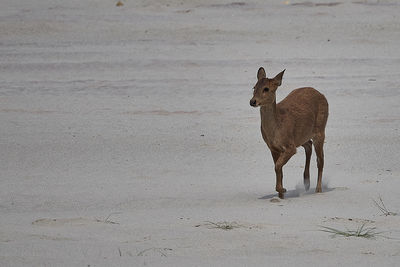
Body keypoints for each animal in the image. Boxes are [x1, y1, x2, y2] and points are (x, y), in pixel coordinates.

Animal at [250, 68, 328, 200]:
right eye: (254, 87)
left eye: (266, 89)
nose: (252, 101)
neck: (276, 129)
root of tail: (321, 94)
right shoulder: (272, 148)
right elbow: (279, 169)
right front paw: (281, 195)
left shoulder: (290, 146)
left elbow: (277, 166)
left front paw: (283, 190)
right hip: (302, 136)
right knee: (309, 145)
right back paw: (306, 182)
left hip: (320, 130)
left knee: (320, 160)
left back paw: (318, 189)